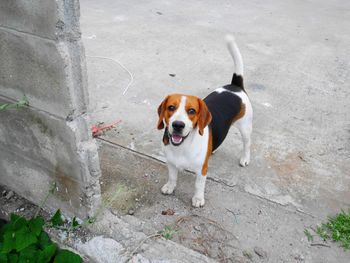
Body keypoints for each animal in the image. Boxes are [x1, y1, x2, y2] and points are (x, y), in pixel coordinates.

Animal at [156, 35, 252, 208]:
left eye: (192, 111)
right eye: (171, 107)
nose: (178, 125)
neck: (183, 146)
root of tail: (234, 86)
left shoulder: (202, 169)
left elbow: (198, 185)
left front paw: (198, 198)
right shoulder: (171, 163)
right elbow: (172, 177)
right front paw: (170, 187)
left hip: (245, 127)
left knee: (247, 144)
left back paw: (245, 159)